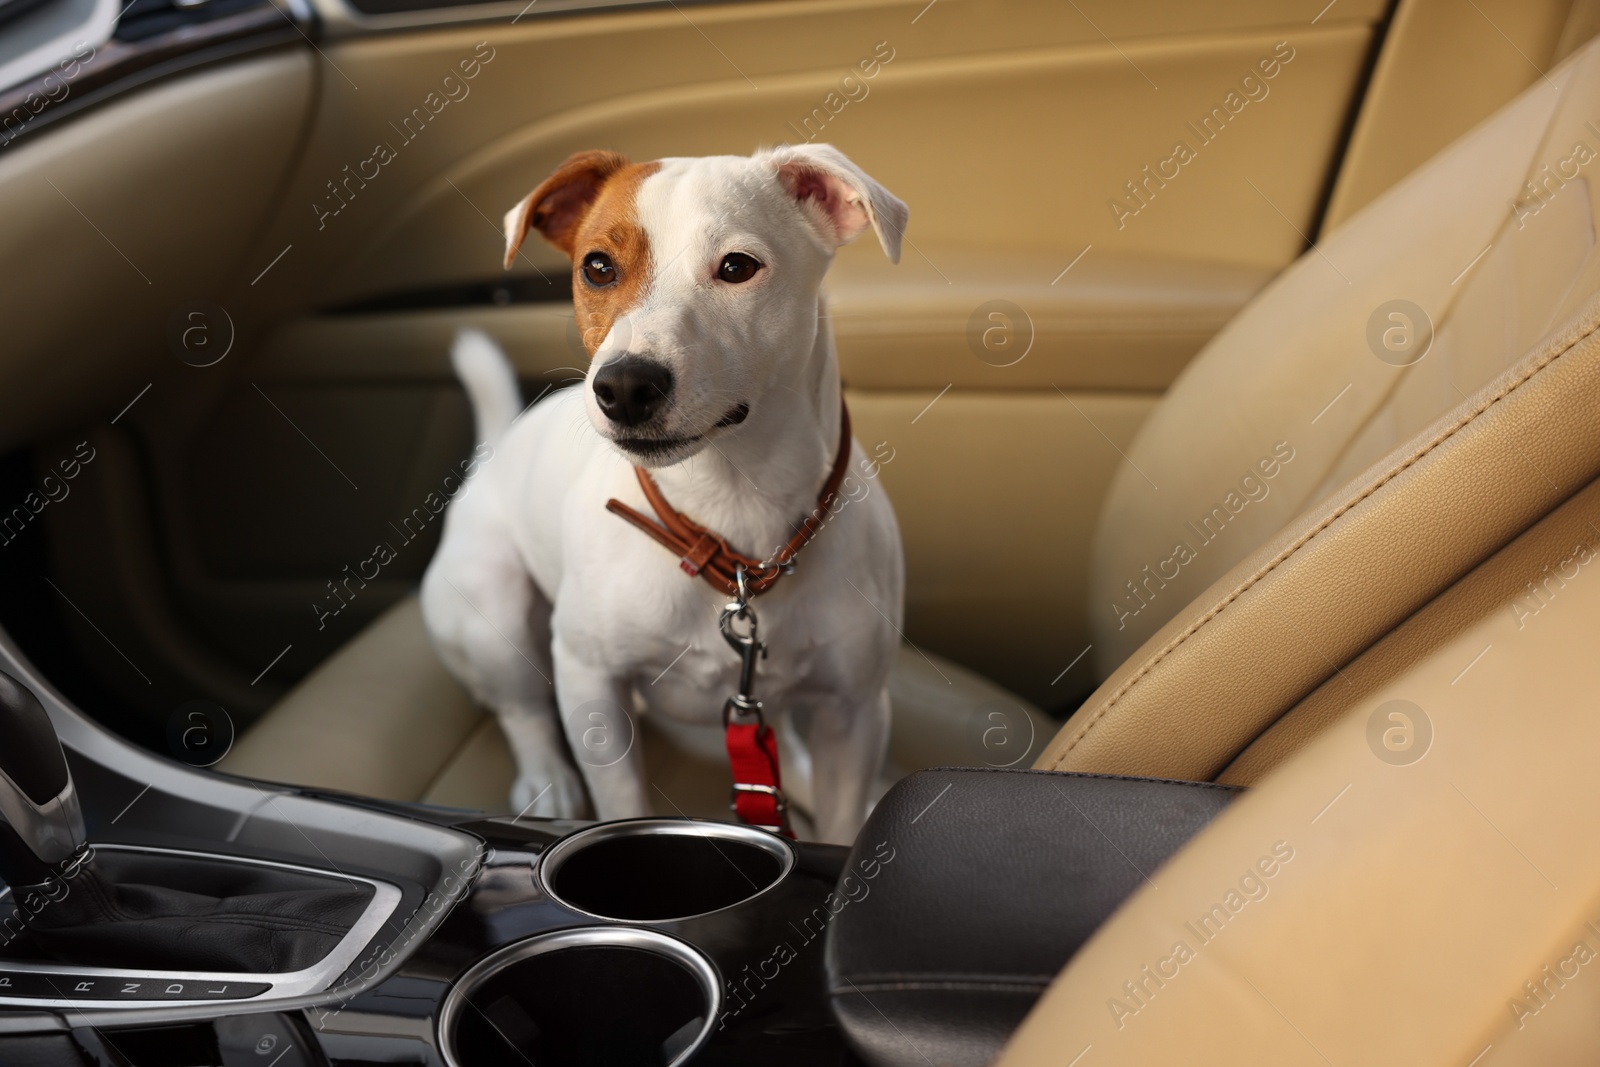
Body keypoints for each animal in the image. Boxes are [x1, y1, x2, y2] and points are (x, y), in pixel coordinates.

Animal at [419, 143, 908, 844]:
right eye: (597, 267)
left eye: (737, 266)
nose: (625, 386)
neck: (729, 517)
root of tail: (492, 456)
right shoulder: (590, 683)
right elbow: (619, 798)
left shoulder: (857, 712)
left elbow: (841, 814)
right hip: (494, 606)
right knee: (522, 708)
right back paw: (547, 776)